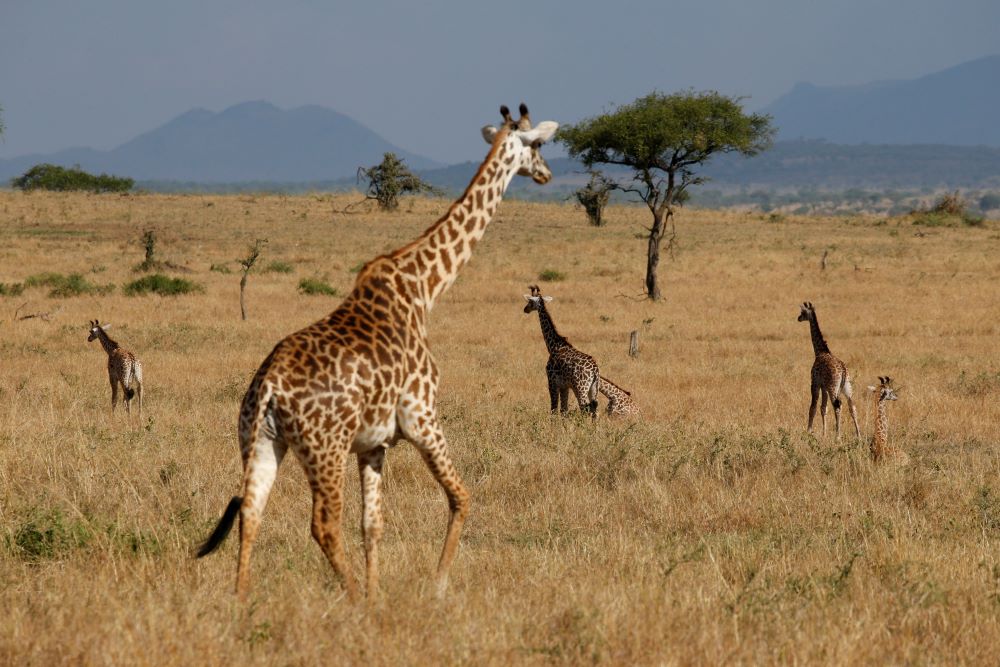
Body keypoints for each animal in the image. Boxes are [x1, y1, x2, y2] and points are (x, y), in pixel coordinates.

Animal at [524, 286, 600, 420]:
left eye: (530, 301)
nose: (525, 309)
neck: (553, 346)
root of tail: (595, 370)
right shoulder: (565, 386)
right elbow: (564, 410)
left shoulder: (552, 382)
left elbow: (554, 409)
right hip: (593, 389)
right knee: (595, 411)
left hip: (581, 388)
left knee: (585, 409)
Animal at [796, 302, 860, 438]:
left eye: (803, 312)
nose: (798, 318)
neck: (821, 351)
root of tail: (844, 371)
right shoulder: (824, 387)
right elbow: (823, 408)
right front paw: (824, 433)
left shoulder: (815, 383)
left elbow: (813, 407)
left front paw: (808, 431)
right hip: (847, 387)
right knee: (852, 406)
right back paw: (859, 435)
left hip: (833, 387)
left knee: (837, 405)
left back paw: (838, 435)